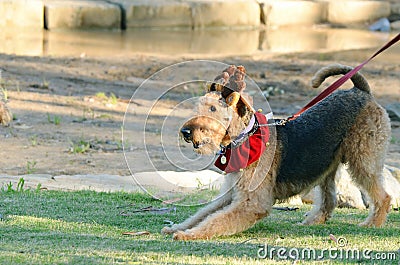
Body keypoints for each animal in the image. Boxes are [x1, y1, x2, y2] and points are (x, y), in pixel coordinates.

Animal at [162, 63, 390, 239]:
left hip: (363, 161)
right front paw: (177, 228)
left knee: (383, 196)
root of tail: (360, 91)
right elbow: (203, 214)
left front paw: (188, 235)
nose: (185, 132)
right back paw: (312, 221)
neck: (246, 136)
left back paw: (373, 223)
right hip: (327, 165)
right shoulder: (231, 195)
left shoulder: (253, 202)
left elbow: (215, 220)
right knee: (329, 200)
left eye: (212, 109)